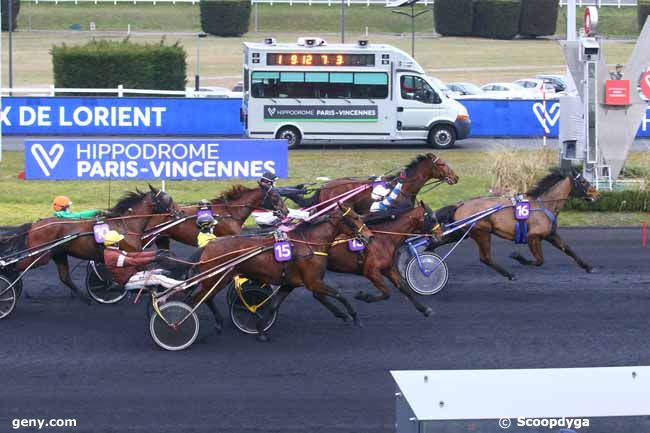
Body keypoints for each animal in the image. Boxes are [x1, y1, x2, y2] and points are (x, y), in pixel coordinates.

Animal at [0, 185, 175, 300]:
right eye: (167, 199)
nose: (177, 212)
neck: (126, 224)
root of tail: (34, 225)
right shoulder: (131, 253)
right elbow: (144, 268)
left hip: (58, 254)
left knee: (64, 277)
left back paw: (83, 297)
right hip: (39, 256)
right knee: (14, 266)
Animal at [195, 204, 372, 340]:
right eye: (355, 218)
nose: (369, 236)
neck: (309, 243)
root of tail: (209, 246)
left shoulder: (290, 283)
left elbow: (273, 306)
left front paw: (260, 329)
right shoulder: (314, 281)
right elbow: (339, 294)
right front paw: (354, 317)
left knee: (205, 298)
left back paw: (218, 324)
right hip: (216, 279)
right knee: (200, 298)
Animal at [430, 170, 596, 278]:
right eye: (583, 181)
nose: (596, 193)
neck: (544, 205)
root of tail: (460, 205)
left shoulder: (551, 235)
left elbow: (568, 249)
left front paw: (588, 267)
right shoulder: (532, 237)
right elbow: (539, 260)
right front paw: (517, 256)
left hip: (461, 233)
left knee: (437, 242)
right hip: (481, 232)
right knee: (485, 258)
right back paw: (509, 274)